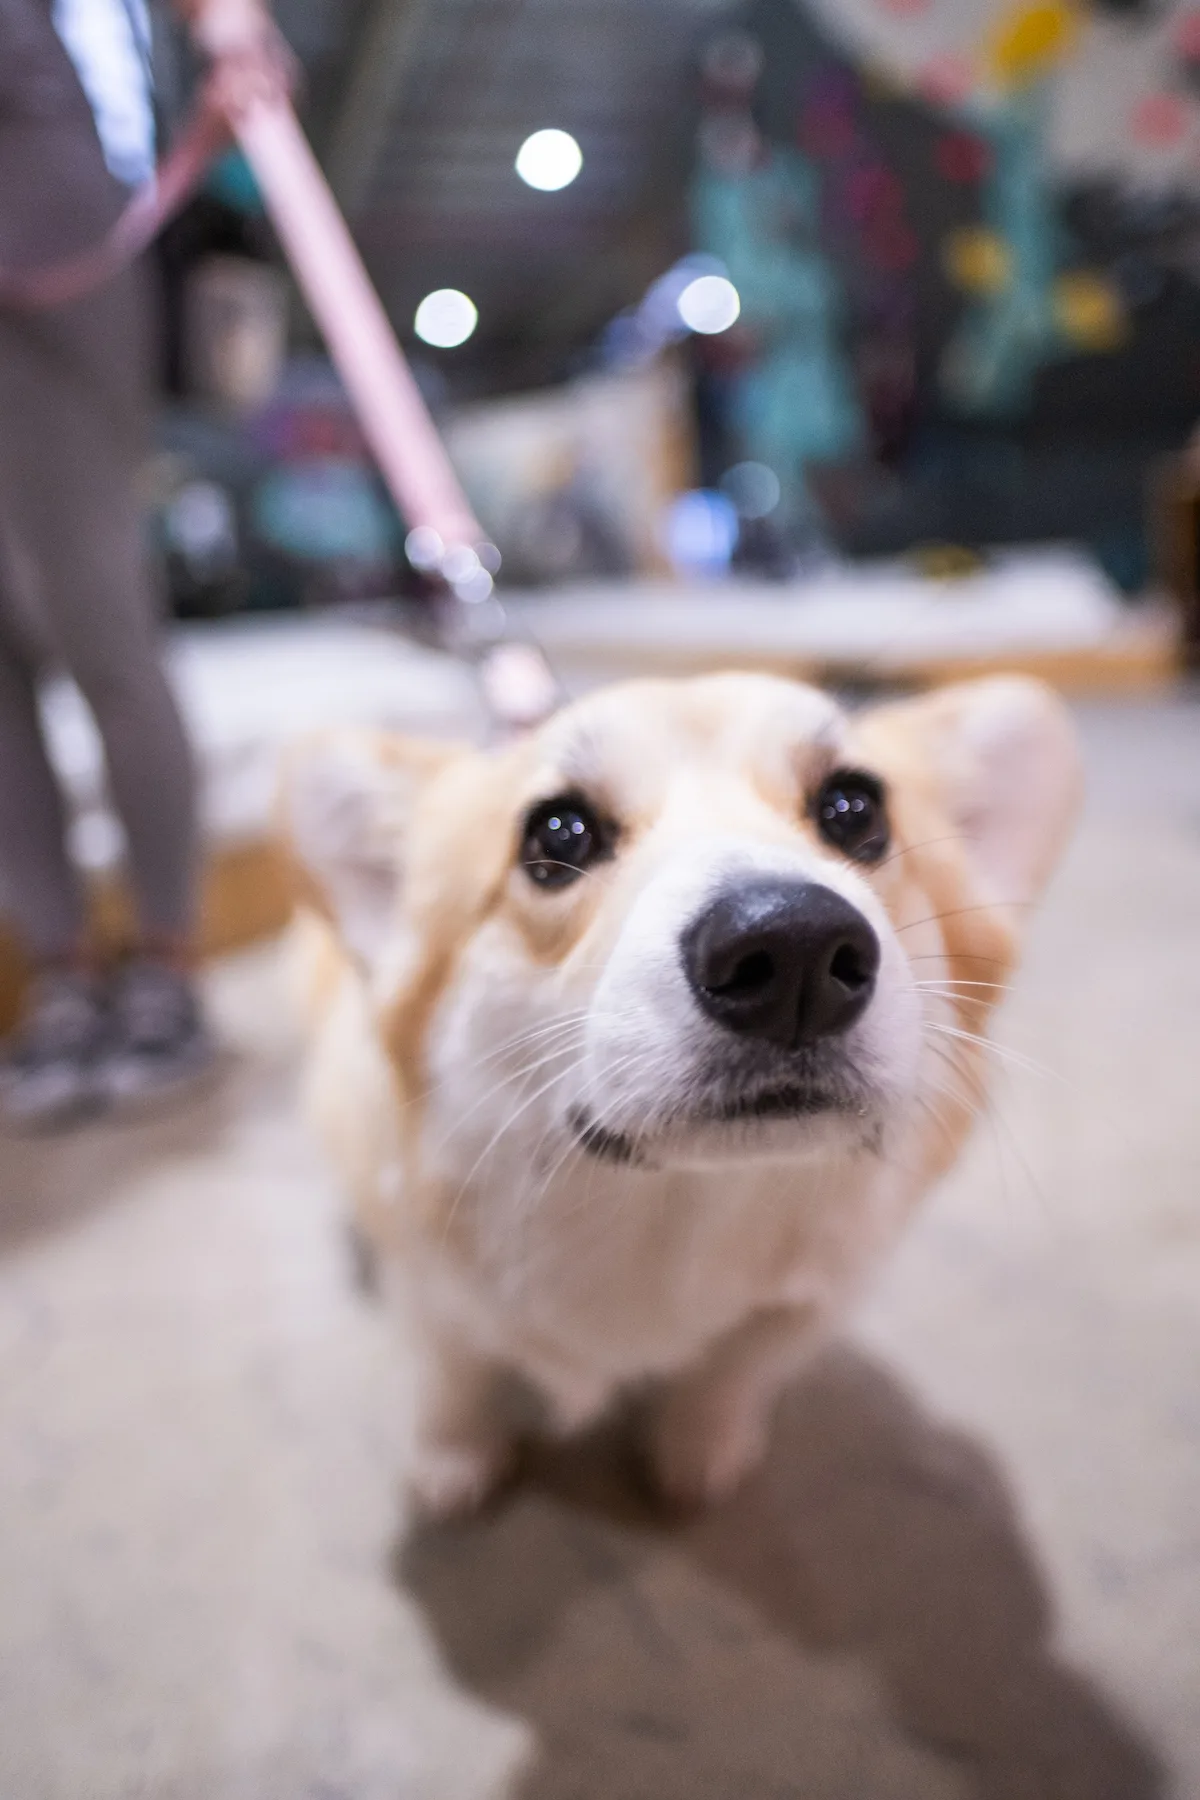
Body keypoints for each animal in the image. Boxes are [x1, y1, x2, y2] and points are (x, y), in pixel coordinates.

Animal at [282, 671, 1080, 1517]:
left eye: (853, 809)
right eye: (557, 834)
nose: (794, 948)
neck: (683, 1205)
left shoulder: (801, 1309)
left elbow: (730, 1376)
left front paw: (698, 1454)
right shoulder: (433, 1290)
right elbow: (455, 1373)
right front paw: (452, 1461)